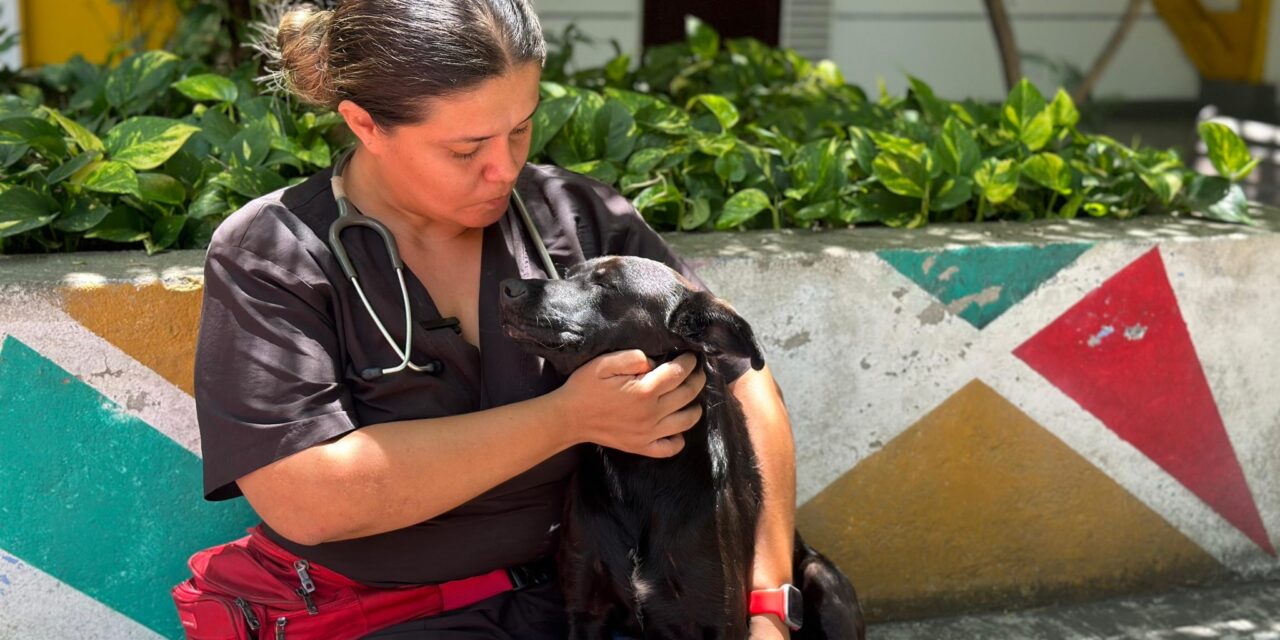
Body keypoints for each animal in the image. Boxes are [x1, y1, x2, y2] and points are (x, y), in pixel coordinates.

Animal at [494, 256, 865, 640]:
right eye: (567, 274)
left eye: (605, 285)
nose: (507, 287)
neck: (637, 470)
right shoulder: (586, 609)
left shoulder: (719, 621)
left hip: (822, 580)